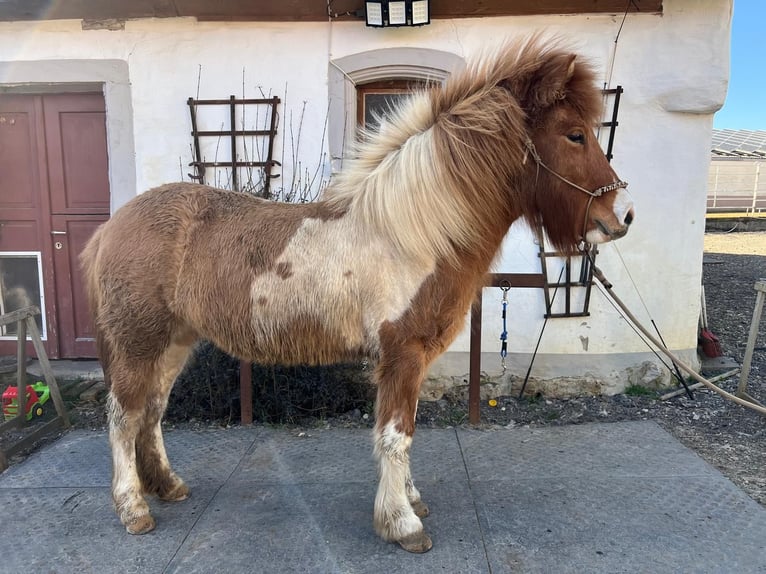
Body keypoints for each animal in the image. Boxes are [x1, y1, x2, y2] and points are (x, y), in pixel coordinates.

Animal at [81, 36, 634, 553]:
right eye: (575, 134)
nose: (621, 217)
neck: (412, 233)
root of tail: (112, 227)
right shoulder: (401, 353)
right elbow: (395, 434)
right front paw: (402, 525)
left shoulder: (412, 359)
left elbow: (405, 430)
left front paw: (410, 501)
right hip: (137, 342)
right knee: (123, 416)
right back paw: (133, 509)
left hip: (174, 341)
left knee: (151, 411)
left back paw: (167, 486)